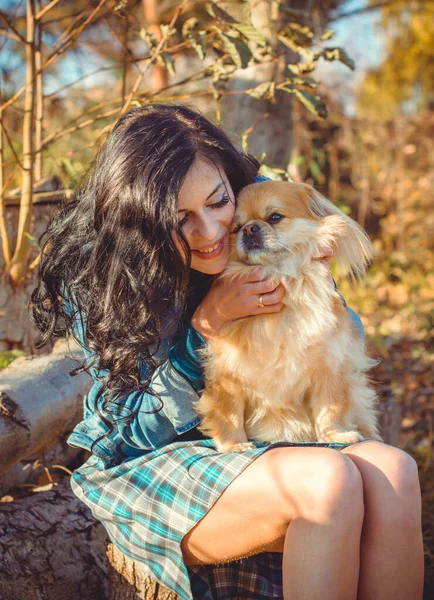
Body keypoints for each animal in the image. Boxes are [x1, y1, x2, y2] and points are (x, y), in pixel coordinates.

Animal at [192, 180, 380, 452]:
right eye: (235, 228)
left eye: (275, 217)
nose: (248, 229)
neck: (280, 276)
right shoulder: (227, 372)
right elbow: (230, 412)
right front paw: (233, 445)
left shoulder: (330, 366)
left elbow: (330, 407)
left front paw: (335, 435)